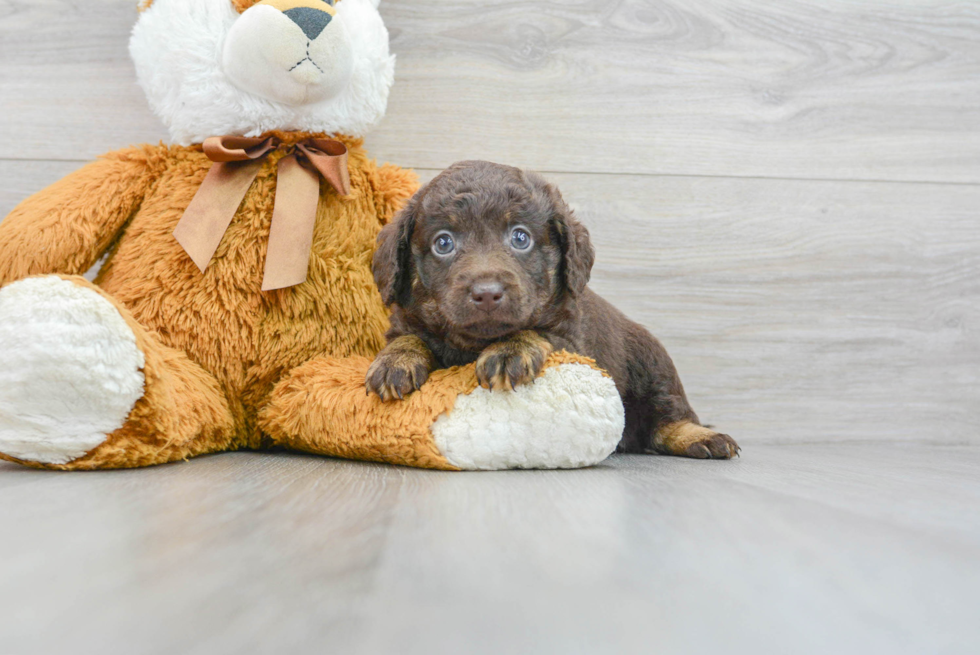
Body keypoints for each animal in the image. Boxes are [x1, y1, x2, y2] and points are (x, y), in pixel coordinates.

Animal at [368, 161, 736, 458]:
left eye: (520, 238)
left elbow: (535, 330)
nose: (487, 293)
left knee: (668, 417)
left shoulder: (572, 339)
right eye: (443, 243)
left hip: (653, 363)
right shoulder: (405, 322)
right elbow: (408, 337)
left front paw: (509, 350)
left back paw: (699, 437)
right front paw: (395, 361)